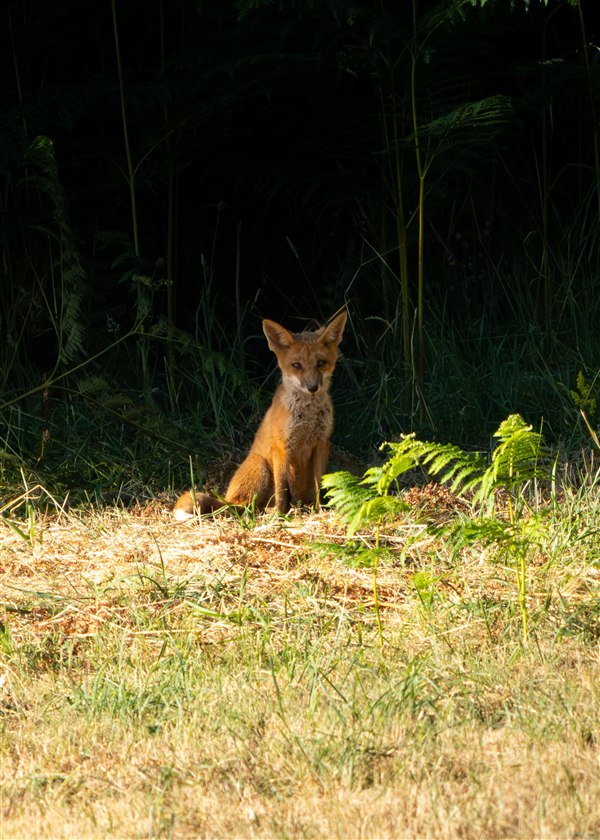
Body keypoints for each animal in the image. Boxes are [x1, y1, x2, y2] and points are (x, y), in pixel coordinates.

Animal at [173, 310, 347, 520]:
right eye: (296, 365)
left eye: (321, 363)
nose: (312, 387)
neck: (307, 416)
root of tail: (228, 498)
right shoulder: (282, 446)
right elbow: (282, 490)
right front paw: (281, 514)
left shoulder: (321, 443)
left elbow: (318, 484)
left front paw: (318, 510)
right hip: (261, 468)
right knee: (242, 507)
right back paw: (264, 511)